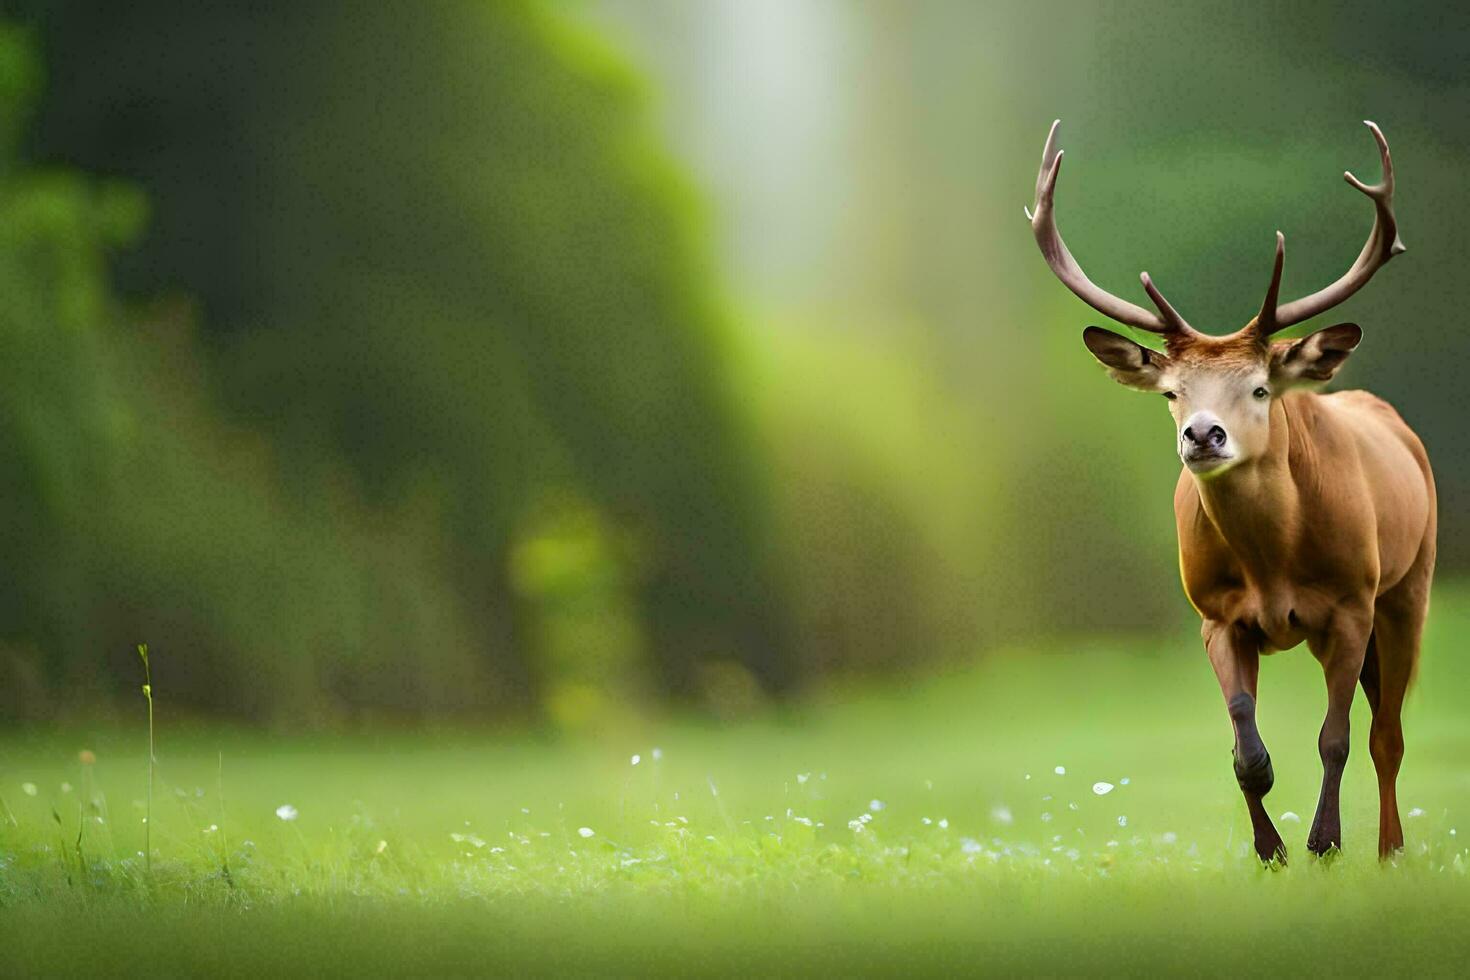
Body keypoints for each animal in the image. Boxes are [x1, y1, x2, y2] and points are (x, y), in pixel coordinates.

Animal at [1029, 122, 1428, 863]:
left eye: (1261, 388)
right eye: (1170, 392)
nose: (1202, 435)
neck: (1274, 564)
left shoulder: (1352, 602)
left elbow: (1336, 738)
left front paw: (1324, 841)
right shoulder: (1215, 614)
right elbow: (1245, 743)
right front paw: (1269, 845)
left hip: (1408, 585)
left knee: (1387, 732)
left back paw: (1389, 848)